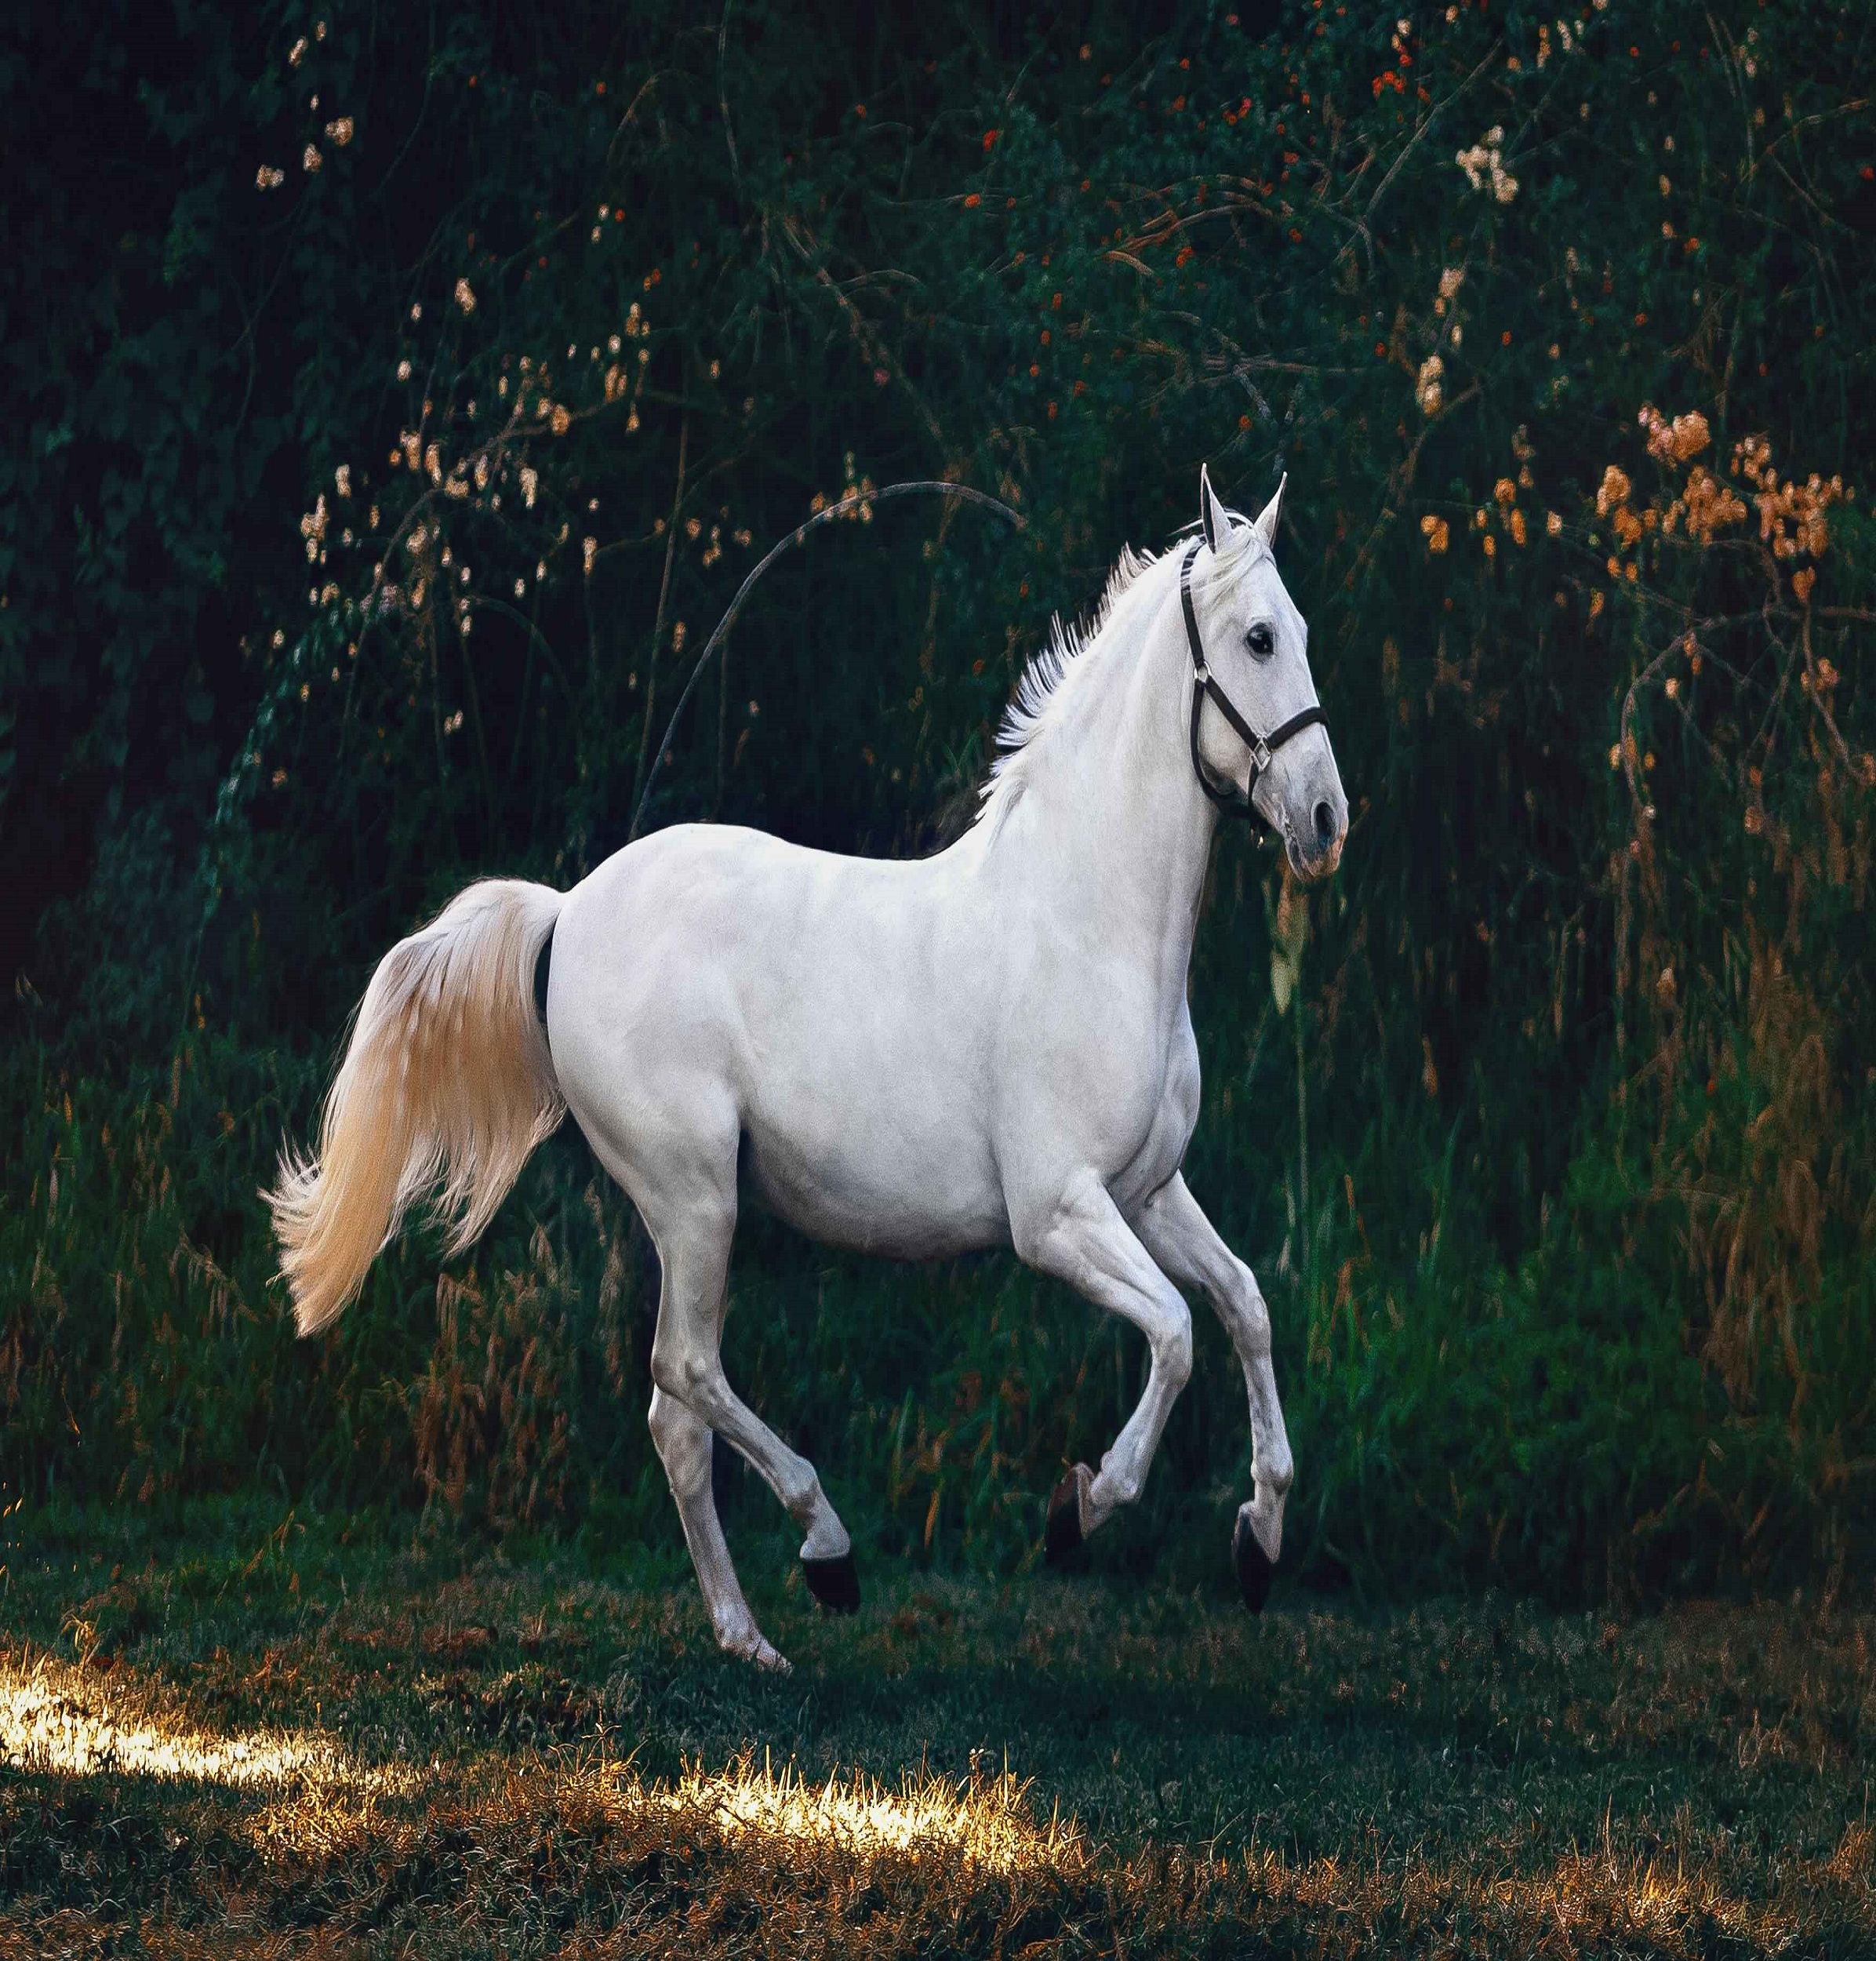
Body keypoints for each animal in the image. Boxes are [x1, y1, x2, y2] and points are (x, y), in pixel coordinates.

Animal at [266, 467, 1348, 1663]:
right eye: (1258, 638)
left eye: (1300, 632)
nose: (1325, 820)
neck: (1086, 922)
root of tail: (567, 911)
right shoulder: (1057, 1213)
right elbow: (1173, 1333)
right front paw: (1081, 1506)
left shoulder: (1149, 1192)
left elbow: (1244, 1306)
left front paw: (1260, 1540)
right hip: (696, 1198)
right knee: (683, 1374)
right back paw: (825, 1550)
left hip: (695, 1211)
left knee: (673, 1418)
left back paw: (750, 1637)